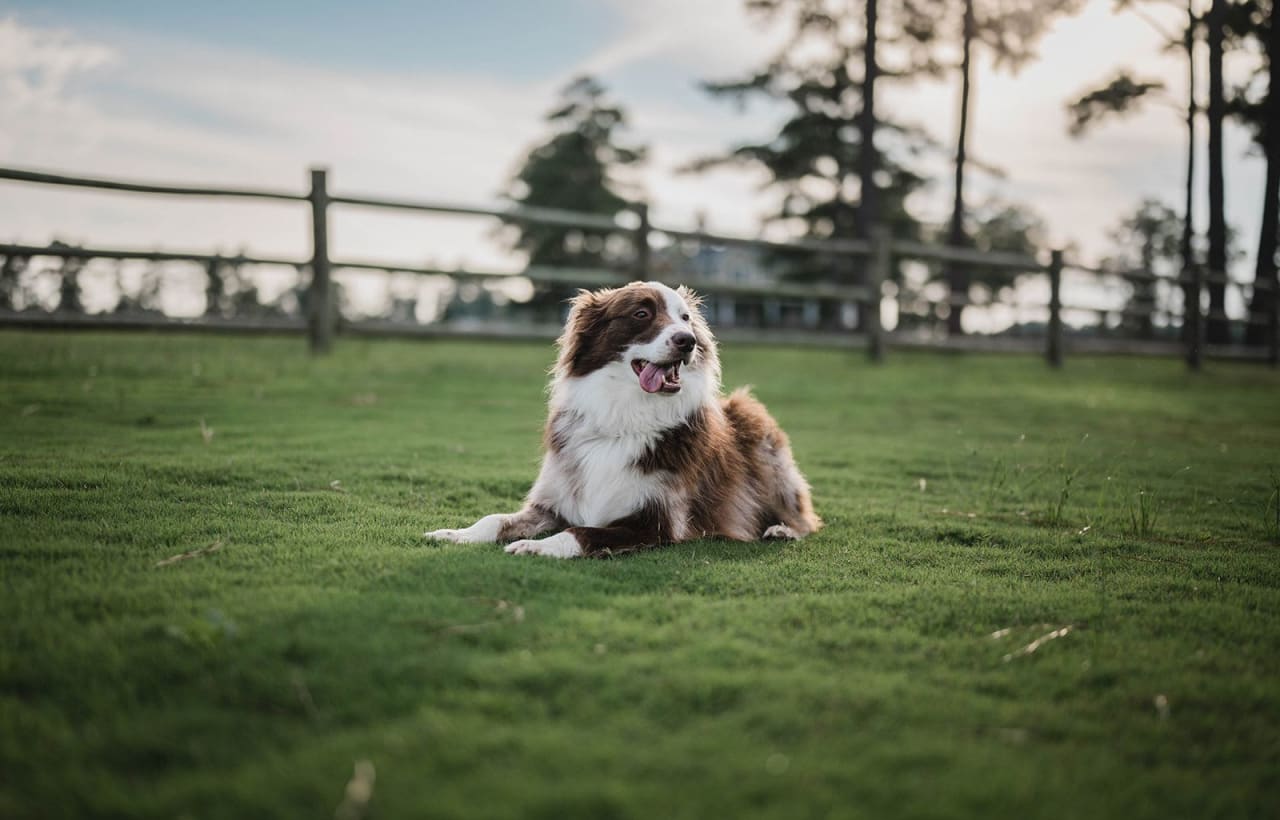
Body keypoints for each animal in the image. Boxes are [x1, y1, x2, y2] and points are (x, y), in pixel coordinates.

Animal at [422, 280, 819, 557]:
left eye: (686, 318)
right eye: (641, 314)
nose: (687, 340)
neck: (624, 415)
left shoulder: (656, 522)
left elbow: (582, 532)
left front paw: (537, 546)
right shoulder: (554, 502)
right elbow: (495, 519)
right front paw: (458, 534)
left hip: (757, 428)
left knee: (806, 517)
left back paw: (782, 530)